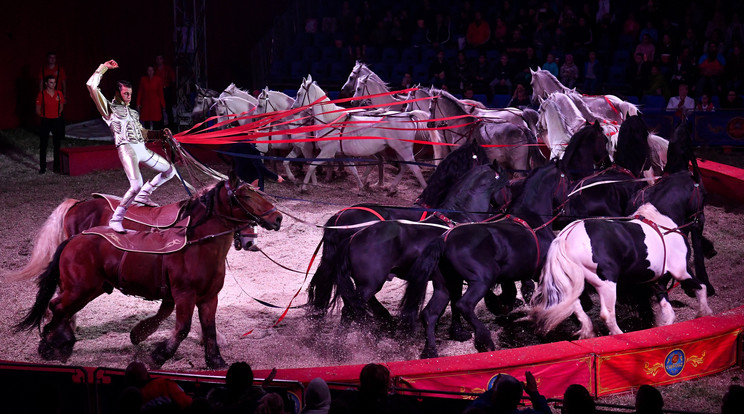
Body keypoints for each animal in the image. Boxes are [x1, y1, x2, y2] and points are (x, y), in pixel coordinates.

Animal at [14, 177, 282, 368]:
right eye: (244, 196)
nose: (278, 218)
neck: (196, 244)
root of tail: (76, 239)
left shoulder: (209, 298)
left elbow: (209, 328)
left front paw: (215, 360)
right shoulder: (185, 295)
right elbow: (182, 327)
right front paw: (158, 354)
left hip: (89, 289)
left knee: (61, 308)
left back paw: (60, 342)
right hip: (80, 288)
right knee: (57, 307)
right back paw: (52, 345)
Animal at [290, 75, 442, 194]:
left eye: (299, 93)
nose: (293, 108)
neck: (331, 120)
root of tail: (408, 115)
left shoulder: (328, 152)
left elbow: (312, 165)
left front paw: (304, 187)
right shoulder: (343, 154)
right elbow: (353, 170)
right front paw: (361, 188)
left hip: (403, 150)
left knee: (414, 169)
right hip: (399, 150)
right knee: (404, 167)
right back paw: (391, 189)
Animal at [532, 202, 712, 338]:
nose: (701, 220)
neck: (664, 227)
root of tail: (566, 236)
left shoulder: (657, 282)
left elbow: (668, 312)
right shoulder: (681, 271)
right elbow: (701, 288)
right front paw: (705, 313)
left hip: (574, 282)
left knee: (574, 306)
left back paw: (589, 331)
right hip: (607, 284)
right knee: (607, 314)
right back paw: (618, 334)